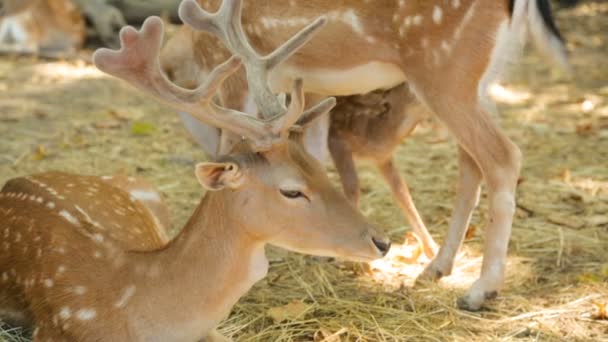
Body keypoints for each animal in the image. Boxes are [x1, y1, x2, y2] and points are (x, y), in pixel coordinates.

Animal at [158, 0, 568, 310]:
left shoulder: (232, 73)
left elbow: (232, 149)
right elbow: (312, 153)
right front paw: (321, 252)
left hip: (446, 71)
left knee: (502, 156)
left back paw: (480, 291)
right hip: (483, 78)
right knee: (471, 162)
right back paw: (436, 267)